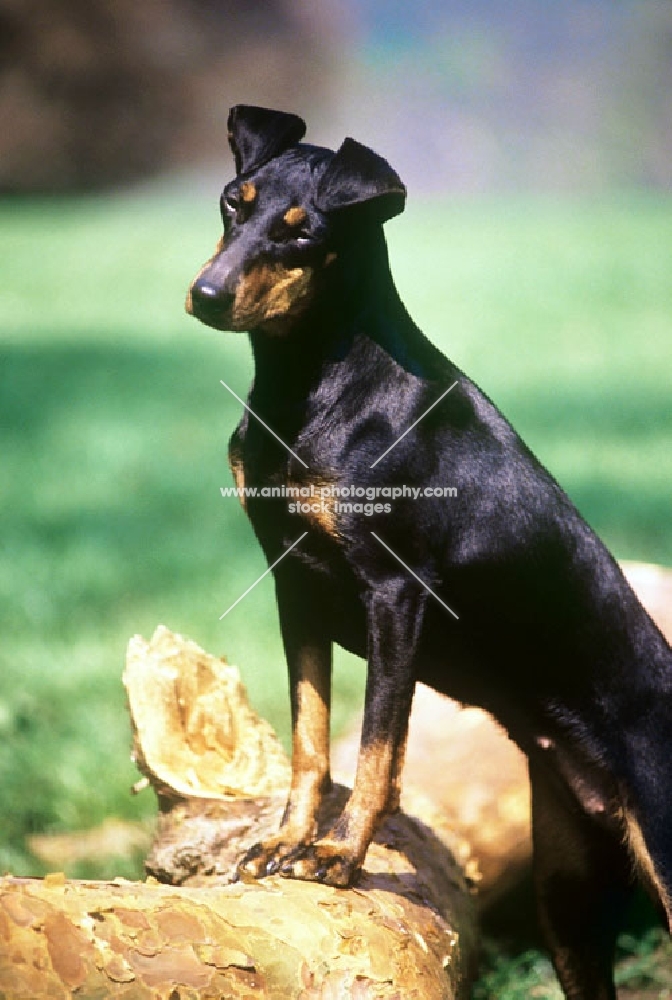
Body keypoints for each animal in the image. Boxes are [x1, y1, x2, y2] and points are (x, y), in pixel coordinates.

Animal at [188, 105, 672, 996]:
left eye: (303, 234)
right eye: (234, 203)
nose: (206, 295)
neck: (314, 386)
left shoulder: (395, 595)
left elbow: (380, 750)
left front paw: (339, 857)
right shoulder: (293, 587)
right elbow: (311, 740)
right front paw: (287, 842)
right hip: (568, 901)